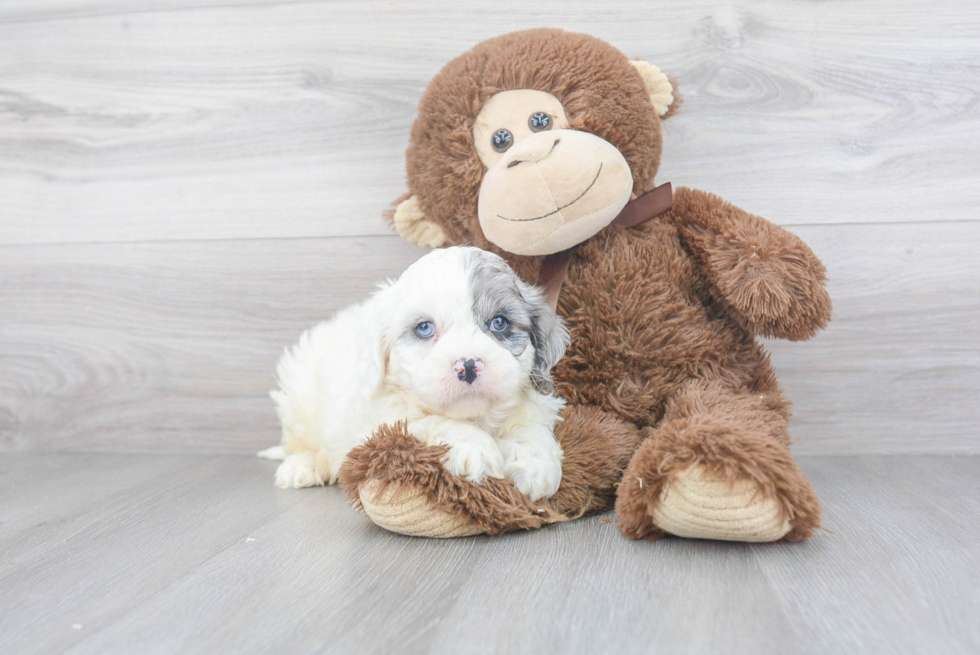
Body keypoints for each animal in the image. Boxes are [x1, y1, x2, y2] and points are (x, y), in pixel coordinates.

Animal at [256, 246, 572, 502]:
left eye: (499, 323)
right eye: (424, 328)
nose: (468, 365)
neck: (476, 417)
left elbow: (529, 426)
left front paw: (534, 460)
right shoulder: (378, 425)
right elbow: (429, 419)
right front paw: (474, 447)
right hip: (298, 400)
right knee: (301, 443)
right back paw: (303, 466)